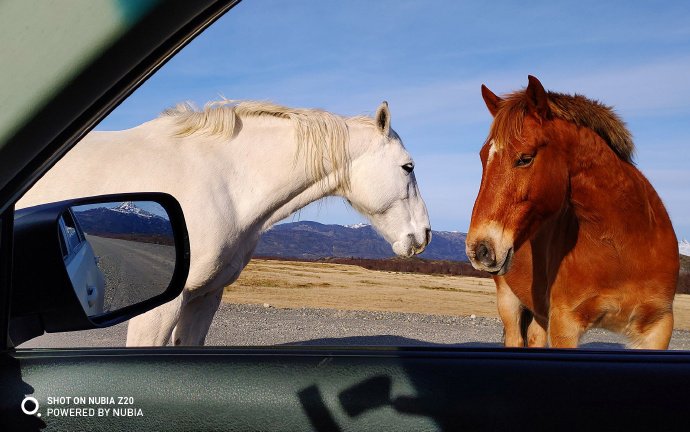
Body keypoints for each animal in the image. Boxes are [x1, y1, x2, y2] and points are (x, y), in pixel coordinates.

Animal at [464, 76, 676, 350]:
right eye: (483, 157)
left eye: (525, 158)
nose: (479, 249)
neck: (624, 245)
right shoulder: (565, 324)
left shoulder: (658, 327)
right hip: (509, 302)